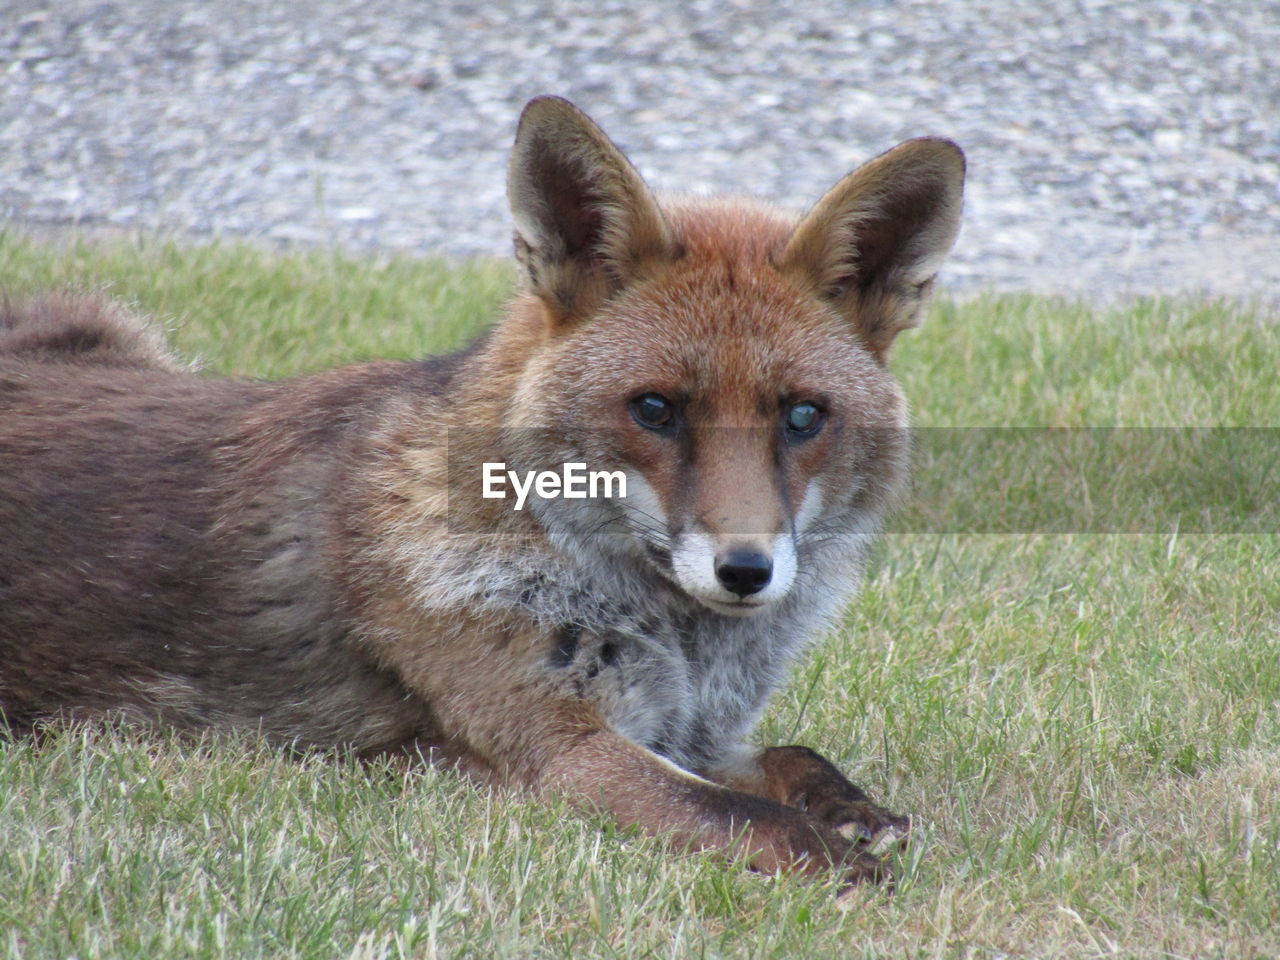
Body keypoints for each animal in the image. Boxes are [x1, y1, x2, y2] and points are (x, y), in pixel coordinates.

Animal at [0, 97, 962, 896]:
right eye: (654, 409)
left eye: (802, 417)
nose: (747, 570)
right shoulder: (554, 752)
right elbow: (744, 816)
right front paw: (844, 863)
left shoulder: (684, 733)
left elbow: (799, 759)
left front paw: (860, 815)